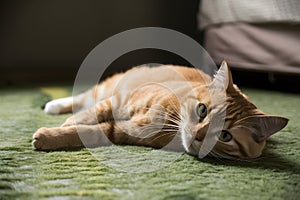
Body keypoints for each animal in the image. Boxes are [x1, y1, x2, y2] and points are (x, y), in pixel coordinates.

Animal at [32, 61, 288, 159]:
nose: (197, 135)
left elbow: (88, 131)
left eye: (224, 136)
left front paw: (51, 136)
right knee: (83, 99)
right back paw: (54, 106)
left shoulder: (120, 131)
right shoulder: (119, 101)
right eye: (202, 110)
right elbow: (88, 115)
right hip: (107, 89)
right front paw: (65, 124)